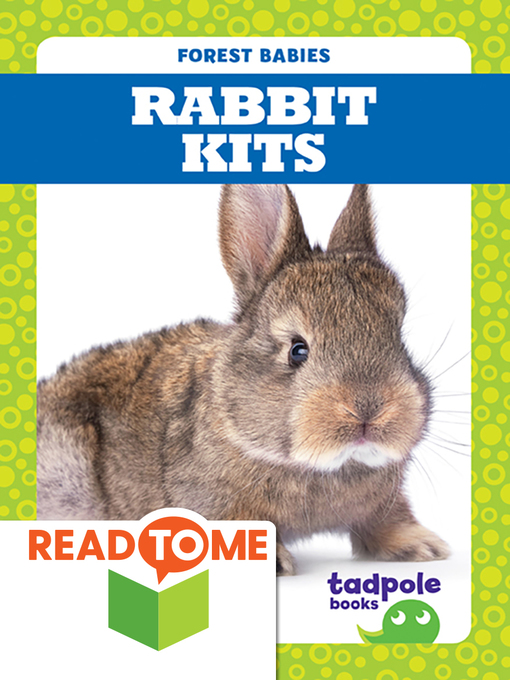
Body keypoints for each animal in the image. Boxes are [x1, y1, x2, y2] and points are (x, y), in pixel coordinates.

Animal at [37, 184, 450, 575]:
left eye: (398, 337)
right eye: (297, 349)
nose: (369, 410)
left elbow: (385, 519)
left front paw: (424, 546)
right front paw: (272, 561)